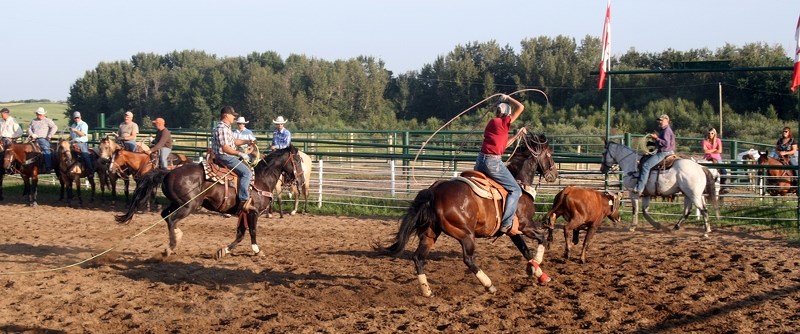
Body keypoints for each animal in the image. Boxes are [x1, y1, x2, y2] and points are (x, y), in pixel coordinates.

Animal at [378, 132, 560, 296]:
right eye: (549, 153)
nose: (554, 174)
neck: (519, 184)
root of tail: (434, 191)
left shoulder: (513, 231)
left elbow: (525, 251)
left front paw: (541, 275)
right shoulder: (525, 225)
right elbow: (542, 238)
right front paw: (534, 265)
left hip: (430, 233)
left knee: (418, 258)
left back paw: (427, 291)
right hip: (465, 234)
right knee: (468, 259)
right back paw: (489, 285)